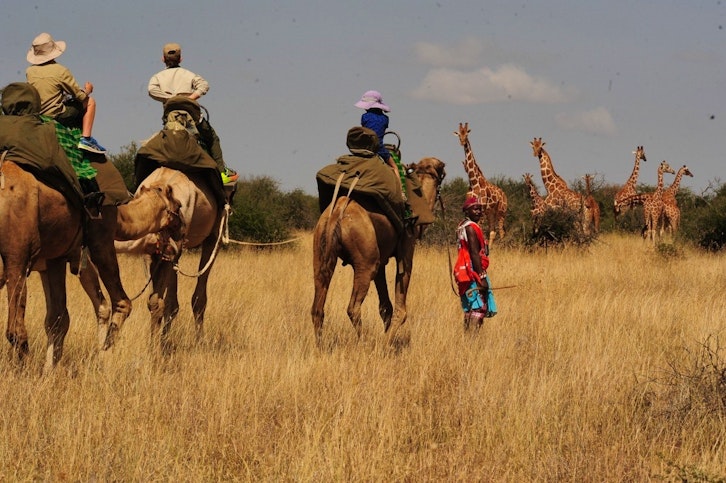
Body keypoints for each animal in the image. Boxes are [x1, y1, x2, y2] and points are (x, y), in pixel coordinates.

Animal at [311, 156, 446, 348]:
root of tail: (337, 213)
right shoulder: (407, 248)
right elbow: (400, 308)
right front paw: (386, 343)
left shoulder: (381, 262)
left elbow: (385, 307)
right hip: (366, 261)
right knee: (352, 307)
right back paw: (365, 342)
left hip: (321, 250)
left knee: (317, 307)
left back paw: (320, 346)